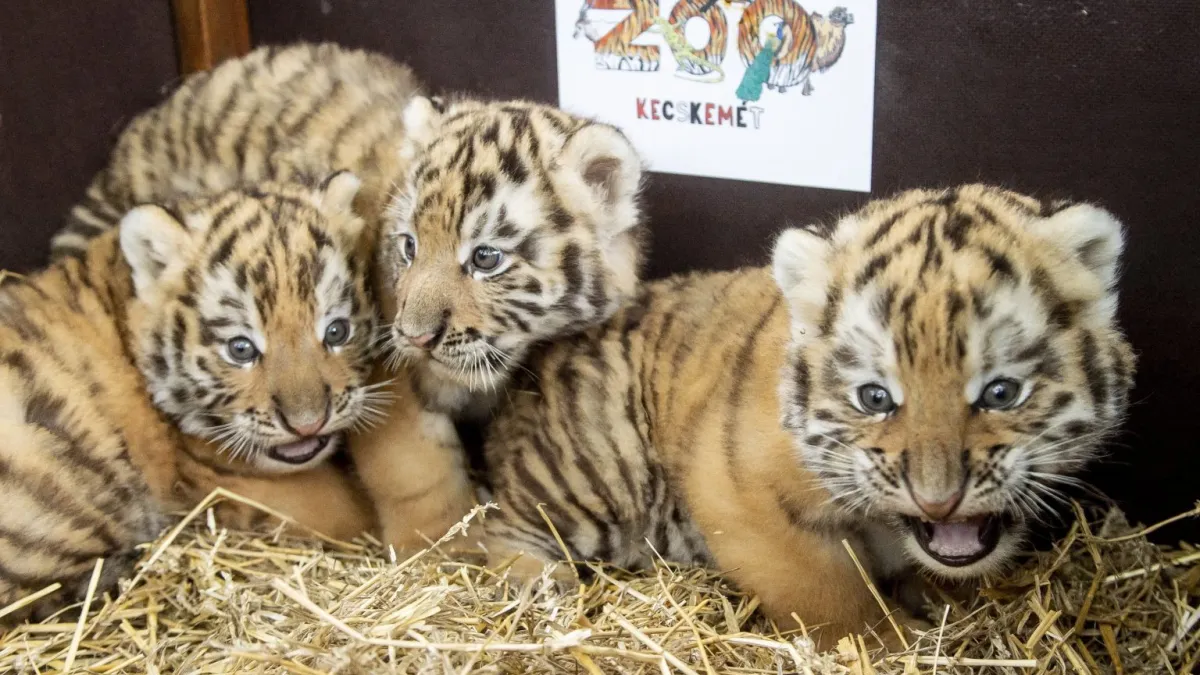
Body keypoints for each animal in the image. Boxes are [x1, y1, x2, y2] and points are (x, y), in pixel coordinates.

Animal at [481, 185, 1135, 649]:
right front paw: (890, 642)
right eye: (876, 398)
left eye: (1001, 393)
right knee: (502, 528)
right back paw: (546, 583)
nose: (938, 502)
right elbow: (825, 589)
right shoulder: (736, 490)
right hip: (597, 478)